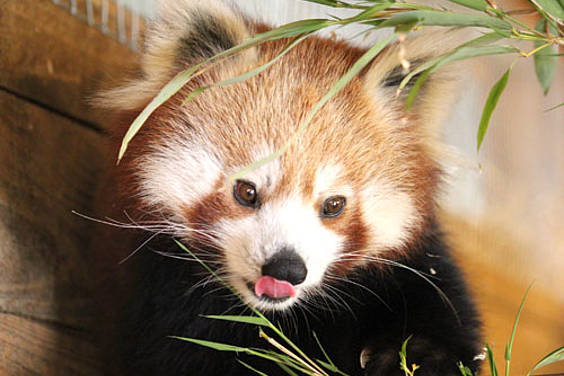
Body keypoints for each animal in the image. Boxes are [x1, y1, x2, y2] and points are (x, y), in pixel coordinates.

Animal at [96, 0, 480, 376]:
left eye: (334, 205)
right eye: (246, 191)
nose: (286, 270)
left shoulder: (415, 275)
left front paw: (414, 358)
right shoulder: (167, 302)